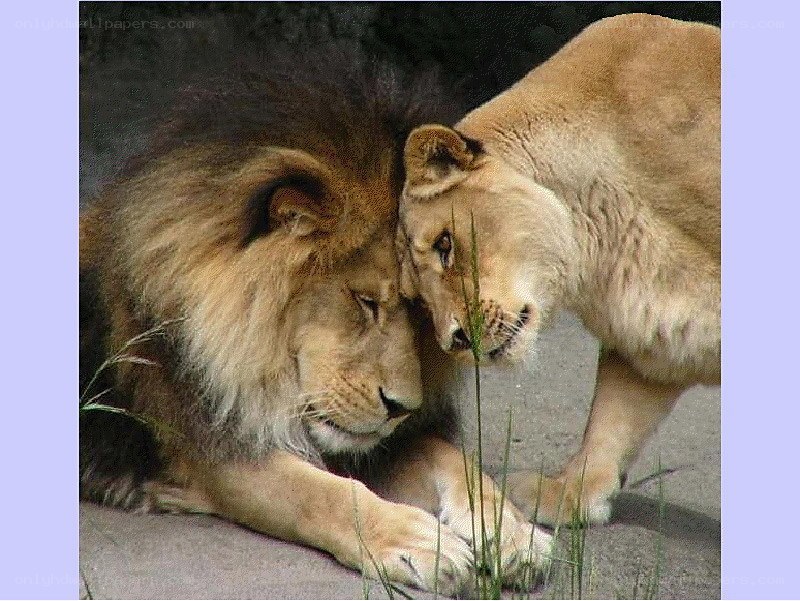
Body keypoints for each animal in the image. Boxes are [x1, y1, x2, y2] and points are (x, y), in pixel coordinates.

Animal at [80, 45, 551, 595]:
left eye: (421, 310)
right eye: (366, 301)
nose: (401, 408)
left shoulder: (381, 444)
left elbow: (459, 463)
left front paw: (513, 533)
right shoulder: (216, 451)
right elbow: (325, 495)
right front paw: (420, 542)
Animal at [397, 14, 720, 526]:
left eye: (445, 245)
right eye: (415, 297)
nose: (457, 341)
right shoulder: (655, 333)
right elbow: (613, 419)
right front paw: (566, 495)